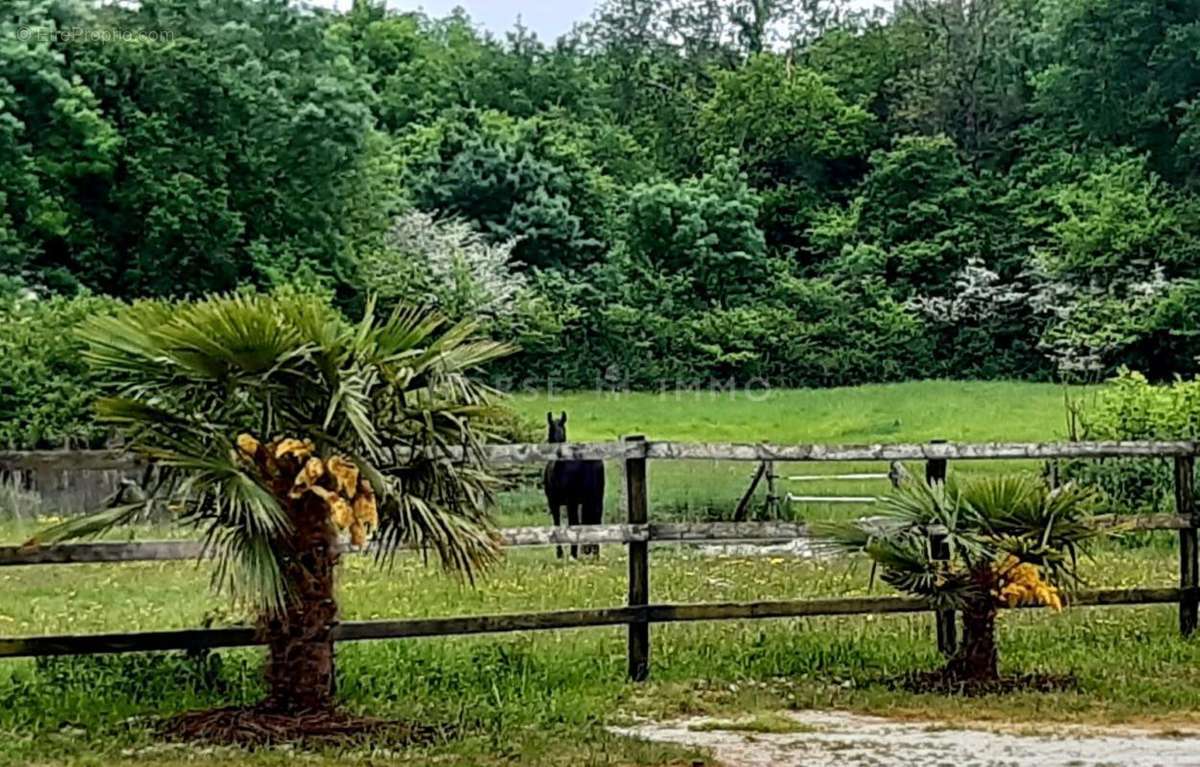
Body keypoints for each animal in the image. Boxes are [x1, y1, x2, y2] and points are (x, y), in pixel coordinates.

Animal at [547, 412, 604, 556]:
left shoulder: (554, 503)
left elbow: (557, 524)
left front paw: (560, 553)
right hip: (595, 498)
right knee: (596, 519)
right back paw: (594, 552)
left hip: (572, 502)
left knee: (576, 522)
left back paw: (575, 553)